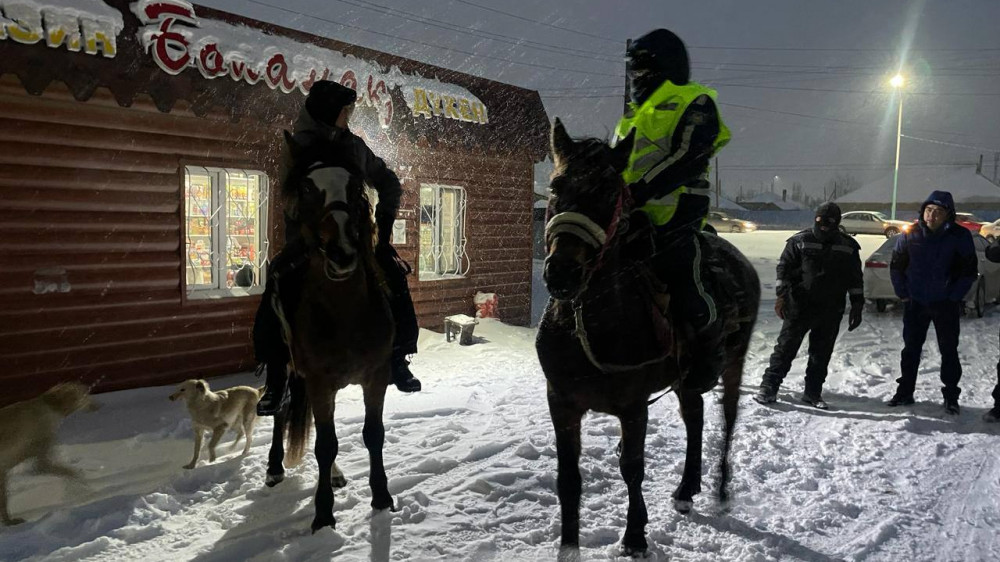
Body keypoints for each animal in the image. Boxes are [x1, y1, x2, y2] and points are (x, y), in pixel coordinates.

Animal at [540, 119, 756, 556]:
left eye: (609, 192)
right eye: (555, 187)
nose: (562, 273)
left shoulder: (633, 406)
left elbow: (632, 469)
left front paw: (635, 536)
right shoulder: (562, 403)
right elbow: (568, 479)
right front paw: (569, 546)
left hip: (733, 362)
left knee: (726, 418)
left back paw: (721, 490)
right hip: (685, 381)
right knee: (695, 417)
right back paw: (687, 488)